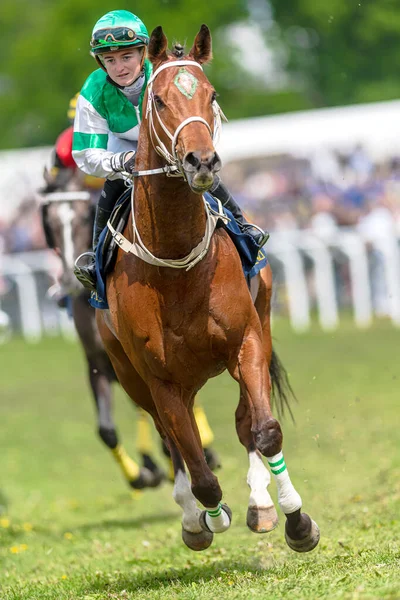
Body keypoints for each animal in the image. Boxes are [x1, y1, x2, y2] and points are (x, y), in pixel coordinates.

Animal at [97, 27, 322, 552]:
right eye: (158, 100)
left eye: (212, 96)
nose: (201, 160)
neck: (178, 267)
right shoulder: (159, 380)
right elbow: (197, 469)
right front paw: (207, 518)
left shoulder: (247, 342)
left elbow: (264, 430)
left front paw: (295, 520)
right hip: (131, 372)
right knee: (173, 443)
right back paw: (195, 517)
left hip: (258, 322)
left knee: (243, 422)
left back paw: (260, 504)